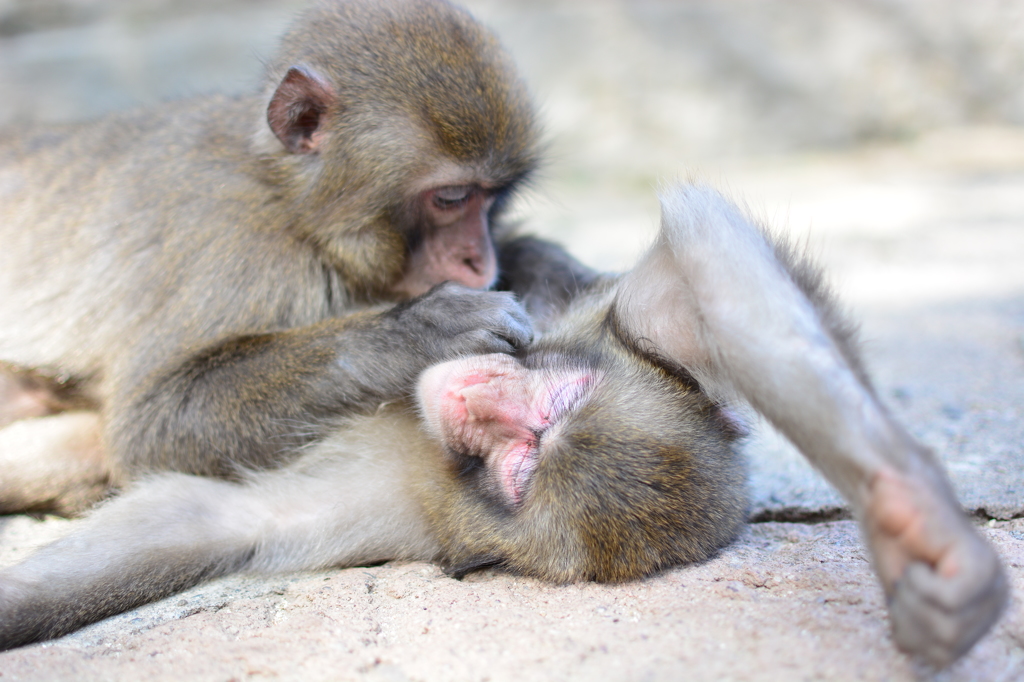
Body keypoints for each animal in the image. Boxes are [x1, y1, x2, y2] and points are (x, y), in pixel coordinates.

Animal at [0, 0, 598, 509]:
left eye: (494, 199)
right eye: (451, 198)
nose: (481, 261)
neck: (294, 208)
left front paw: (558, 272)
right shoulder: (235, 242)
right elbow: (151, 426)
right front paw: (421, 332)